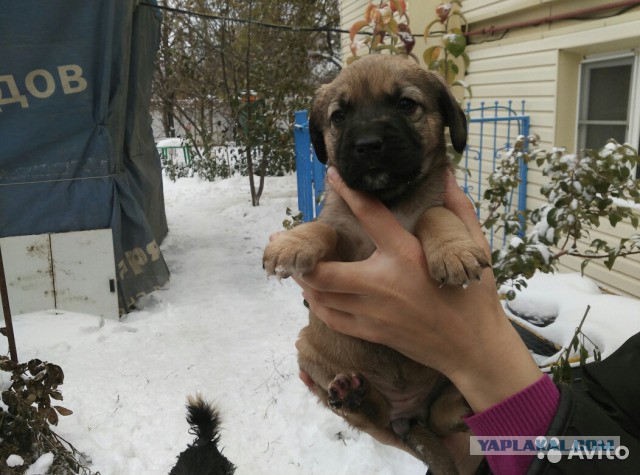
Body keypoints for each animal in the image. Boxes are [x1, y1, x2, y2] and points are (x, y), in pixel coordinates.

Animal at [262, 54, 488, 474]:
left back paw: (462, 405)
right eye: (339, 116)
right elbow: (324, 228)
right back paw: (354, 395)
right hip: (309, 350)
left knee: (440, 415)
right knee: (372, 416)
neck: (390, 200)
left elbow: (434, 215)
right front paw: (292, 243)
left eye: (406, 104)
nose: (368, 146)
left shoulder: (440, 206)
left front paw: (453, 251)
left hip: (451, 374)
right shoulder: (343, 238)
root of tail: (407, 414)